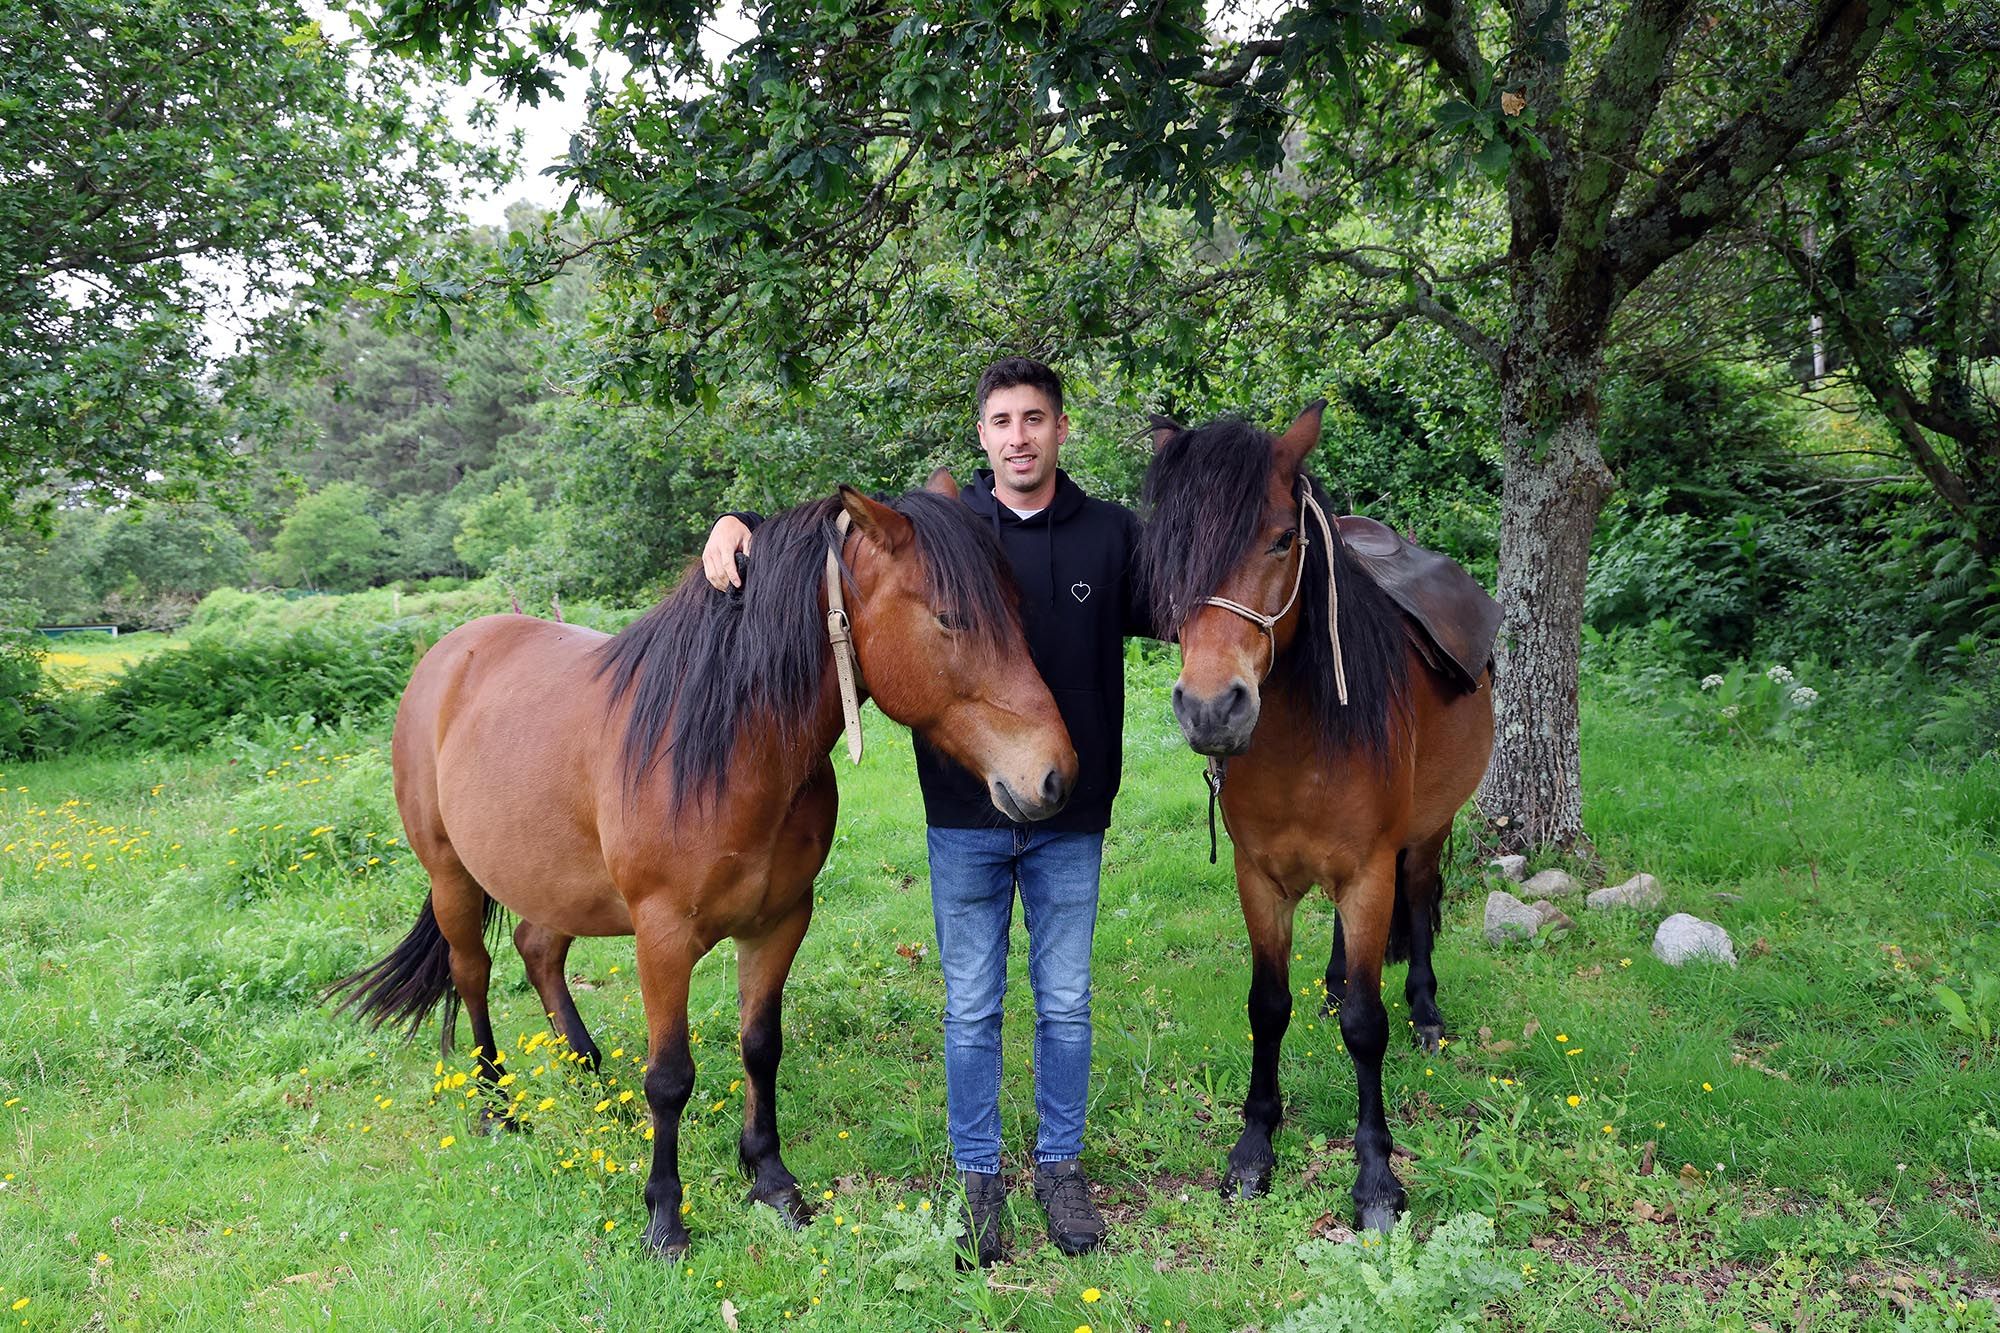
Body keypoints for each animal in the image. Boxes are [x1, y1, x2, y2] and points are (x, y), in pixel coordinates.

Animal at [330, 480, 1080, 1256]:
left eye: (1016, 608)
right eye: (949, 618)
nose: (1053, 777)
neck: (723, 750)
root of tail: (446, 654)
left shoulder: (780, 921)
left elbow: (760, 1047)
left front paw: (772, 1180)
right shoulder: (661, 939)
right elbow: (670, 1077)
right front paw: (664, 1217)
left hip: (552, 882)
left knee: (537, 950)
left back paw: (587, 1075)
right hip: (452, 874)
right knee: (472, 975)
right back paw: (498, 1105)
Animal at [1152, 402, 1496, 1224]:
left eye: (1283, 538)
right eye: (1167, 549)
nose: (1210, 709)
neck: (1303, 740)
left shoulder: (1369, 873)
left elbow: (1367, 1028)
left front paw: (1375, 1176)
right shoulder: (1260, 879)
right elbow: (1266, 1005)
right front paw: (1253, 1150)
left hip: (1427, 834)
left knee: (1421, 900)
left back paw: (1426, 1013)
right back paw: (1337, 982)